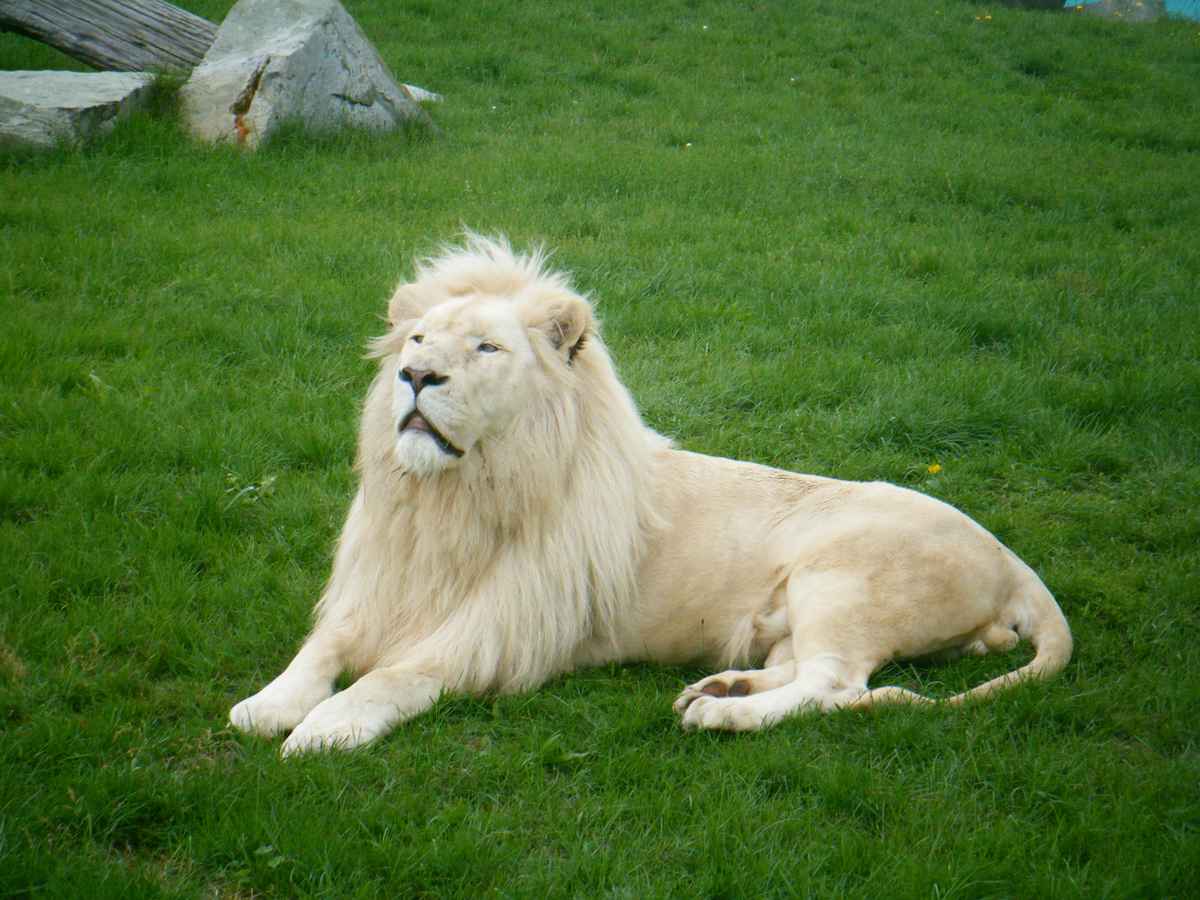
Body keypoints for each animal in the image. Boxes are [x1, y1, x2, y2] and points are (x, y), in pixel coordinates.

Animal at [230, 235, 1072, 754]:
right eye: (415, 340)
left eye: (486, 347)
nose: (416, 377)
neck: (446, 501)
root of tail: (1012, 560)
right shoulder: (375, 587)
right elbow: (321, 648)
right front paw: (268, 705)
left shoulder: (506, 624)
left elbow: (394, 674)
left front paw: (325, 729)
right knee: (807, 672)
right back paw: (717, 685)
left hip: (842, 579)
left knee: (833, 686)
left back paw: (724, 714)